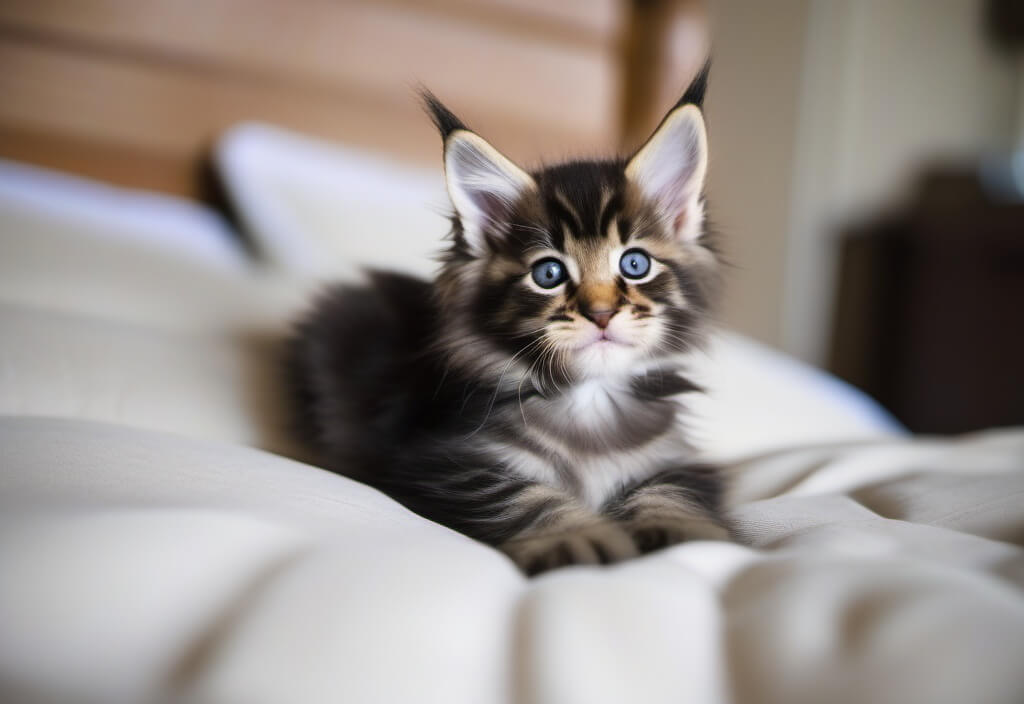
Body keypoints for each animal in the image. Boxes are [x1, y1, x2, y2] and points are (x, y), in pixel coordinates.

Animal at [286, 63, 729, 573]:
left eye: (634, 264)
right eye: (549, 273)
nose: (600, 313)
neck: (591, 402)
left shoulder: (679, 459)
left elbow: (673, 490)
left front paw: (682, 531)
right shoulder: (438, 461)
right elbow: (524, 494)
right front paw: (576, 536)